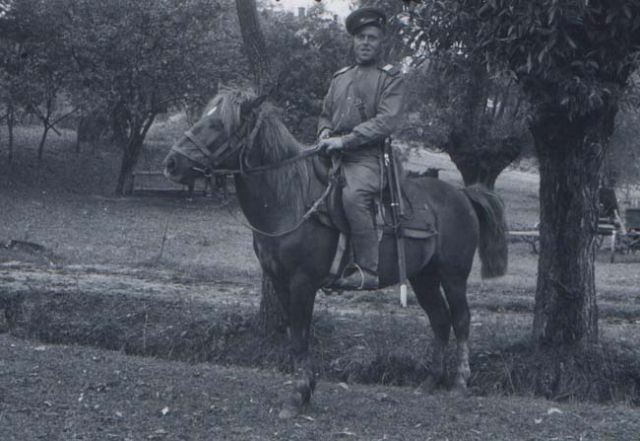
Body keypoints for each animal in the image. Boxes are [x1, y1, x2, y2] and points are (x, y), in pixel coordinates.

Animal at [162, 88, 508, 418]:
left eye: (219, 124)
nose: (171, 163)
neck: (290, 198)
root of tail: (461, 194)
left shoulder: (302, 283)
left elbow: (301, 335)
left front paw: (297, 395)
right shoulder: (280, 281)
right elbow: (295, 336)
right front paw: (306, 389)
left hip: (453, 276)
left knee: (461, 319)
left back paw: (460, 382)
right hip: (424, 277)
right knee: (439, 320)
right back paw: (430, 381)